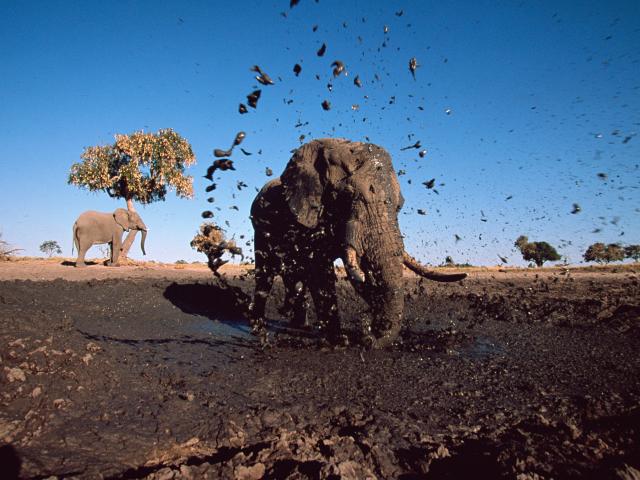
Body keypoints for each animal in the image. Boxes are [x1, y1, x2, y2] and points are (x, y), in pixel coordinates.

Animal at [249, 138, 466, 348]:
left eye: (400, 206)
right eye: (346, 196)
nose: (368, 336)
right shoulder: (308, 219)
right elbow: (320, 273)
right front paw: (340, 342)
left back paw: (300, 325)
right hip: (261, 230)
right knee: (265, 275)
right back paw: (259, 331)